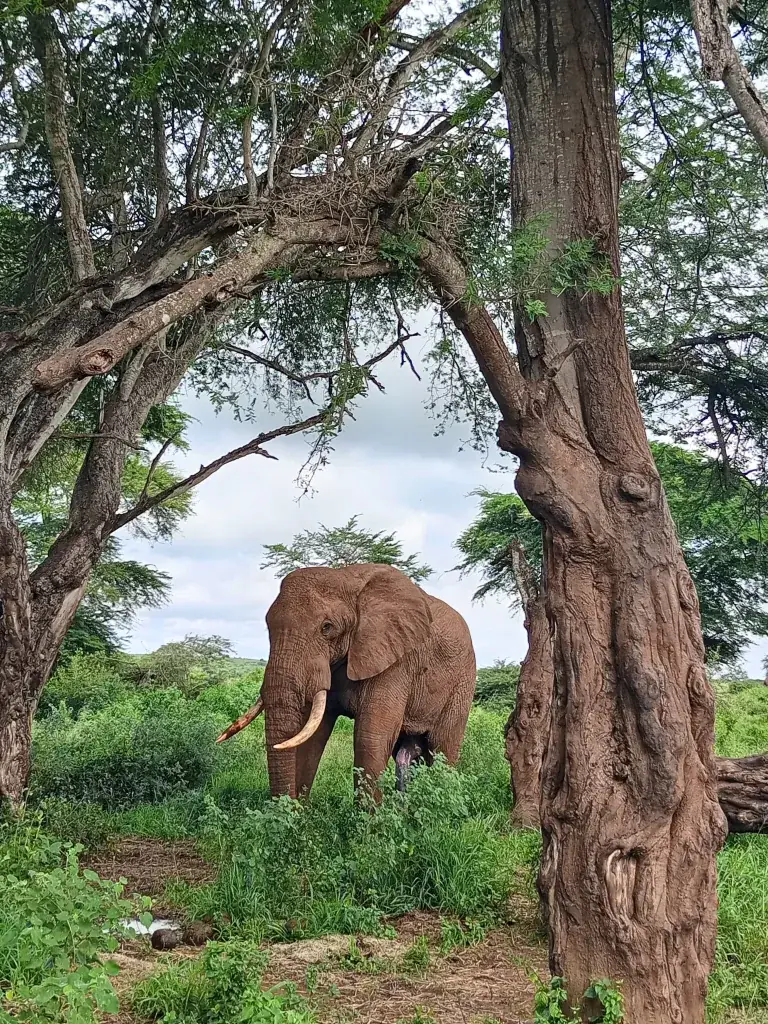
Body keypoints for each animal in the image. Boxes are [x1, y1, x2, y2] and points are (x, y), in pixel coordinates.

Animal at [216, 563, 477, 800]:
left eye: (327, 628)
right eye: (268, 625)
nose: (287, 805)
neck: (346, 576)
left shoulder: (396, 661)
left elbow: (370, 739)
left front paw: (370, 822)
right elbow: (313, 735)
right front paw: (297, 815)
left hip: (463, 683)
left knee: (442, 749)